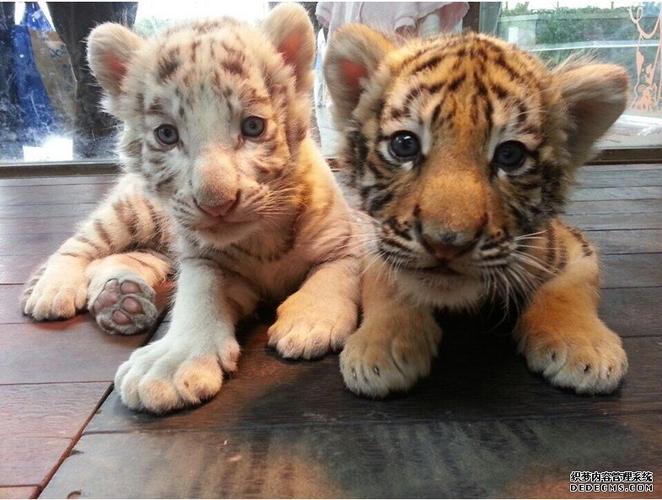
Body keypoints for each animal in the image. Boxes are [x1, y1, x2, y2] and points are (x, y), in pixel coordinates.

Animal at [22, 4, 360, 413]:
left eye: (253, 127)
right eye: (167, 134)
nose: (216, 201)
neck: (262, 237)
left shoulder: (345, 242)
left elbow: (333, 274)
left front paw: (310, 323)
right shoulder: (203, 260)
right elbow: (198, 299)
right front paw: (169, 365)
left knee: (122, 258)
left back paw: (120, 300)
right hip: (134, 212)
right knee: (79, 245)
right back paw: (54, 291)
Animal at [323, 25, 629, 398]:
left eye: (510, 155)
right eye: (404, 145)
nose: (446, 243)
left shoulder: (570, 246)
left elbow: (569, 286)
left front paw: (584, 348)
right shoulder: (376, 236)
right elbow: (387, 280)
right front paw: (383, 347)